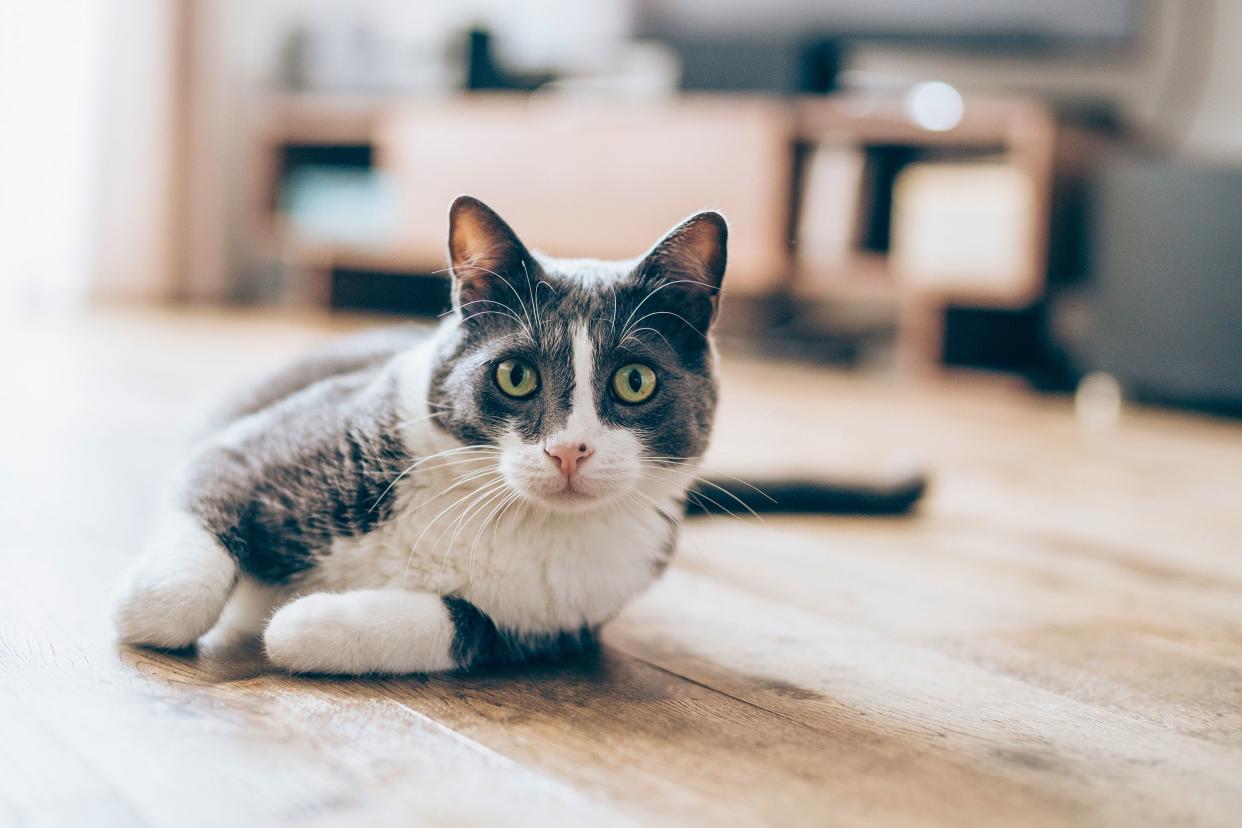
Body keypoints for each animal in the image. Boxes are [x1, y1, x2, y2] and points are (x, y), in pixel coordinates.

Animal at [114, 197, 924, 675]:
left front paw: (309, 623)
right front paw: (143, 606)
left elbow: (468, 625)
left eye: (635, 382)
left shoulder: (570, 616)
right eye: (515, 375)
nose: (570, 449)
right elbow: (182, 562)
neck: (505, 511)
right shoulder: (254, 448)